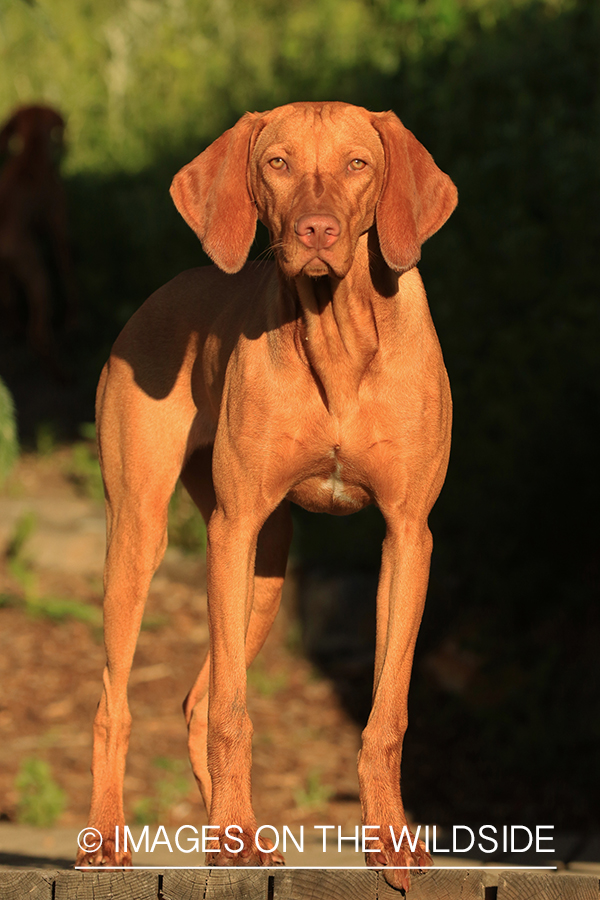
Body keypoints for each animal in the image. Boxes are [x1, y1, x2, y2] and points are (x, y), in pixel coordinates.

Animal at [0, 104, 77, 372]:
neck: (30, 154)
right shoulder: (59, 229)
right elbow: (69, 277)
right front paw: (71, 321)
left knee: (13, 311)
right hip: (39, 279)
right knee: (37, 335)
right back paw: (61, 372)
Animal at [77, 102, 458, 888]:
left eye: (358, 164)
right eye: (277, 163)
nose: (317, 232)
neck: (337, 334)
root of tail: (164, 290)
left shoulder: (409, 534)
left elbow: (388, 712)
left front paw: (390, 839)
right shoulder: (235, 527)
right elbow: (233, 711)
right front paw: (236, 835)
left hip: (270, 574)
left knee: (194, 700)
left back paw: (228, 832)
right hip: (141, 534)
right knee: (115, 700)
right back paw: (118, 837)